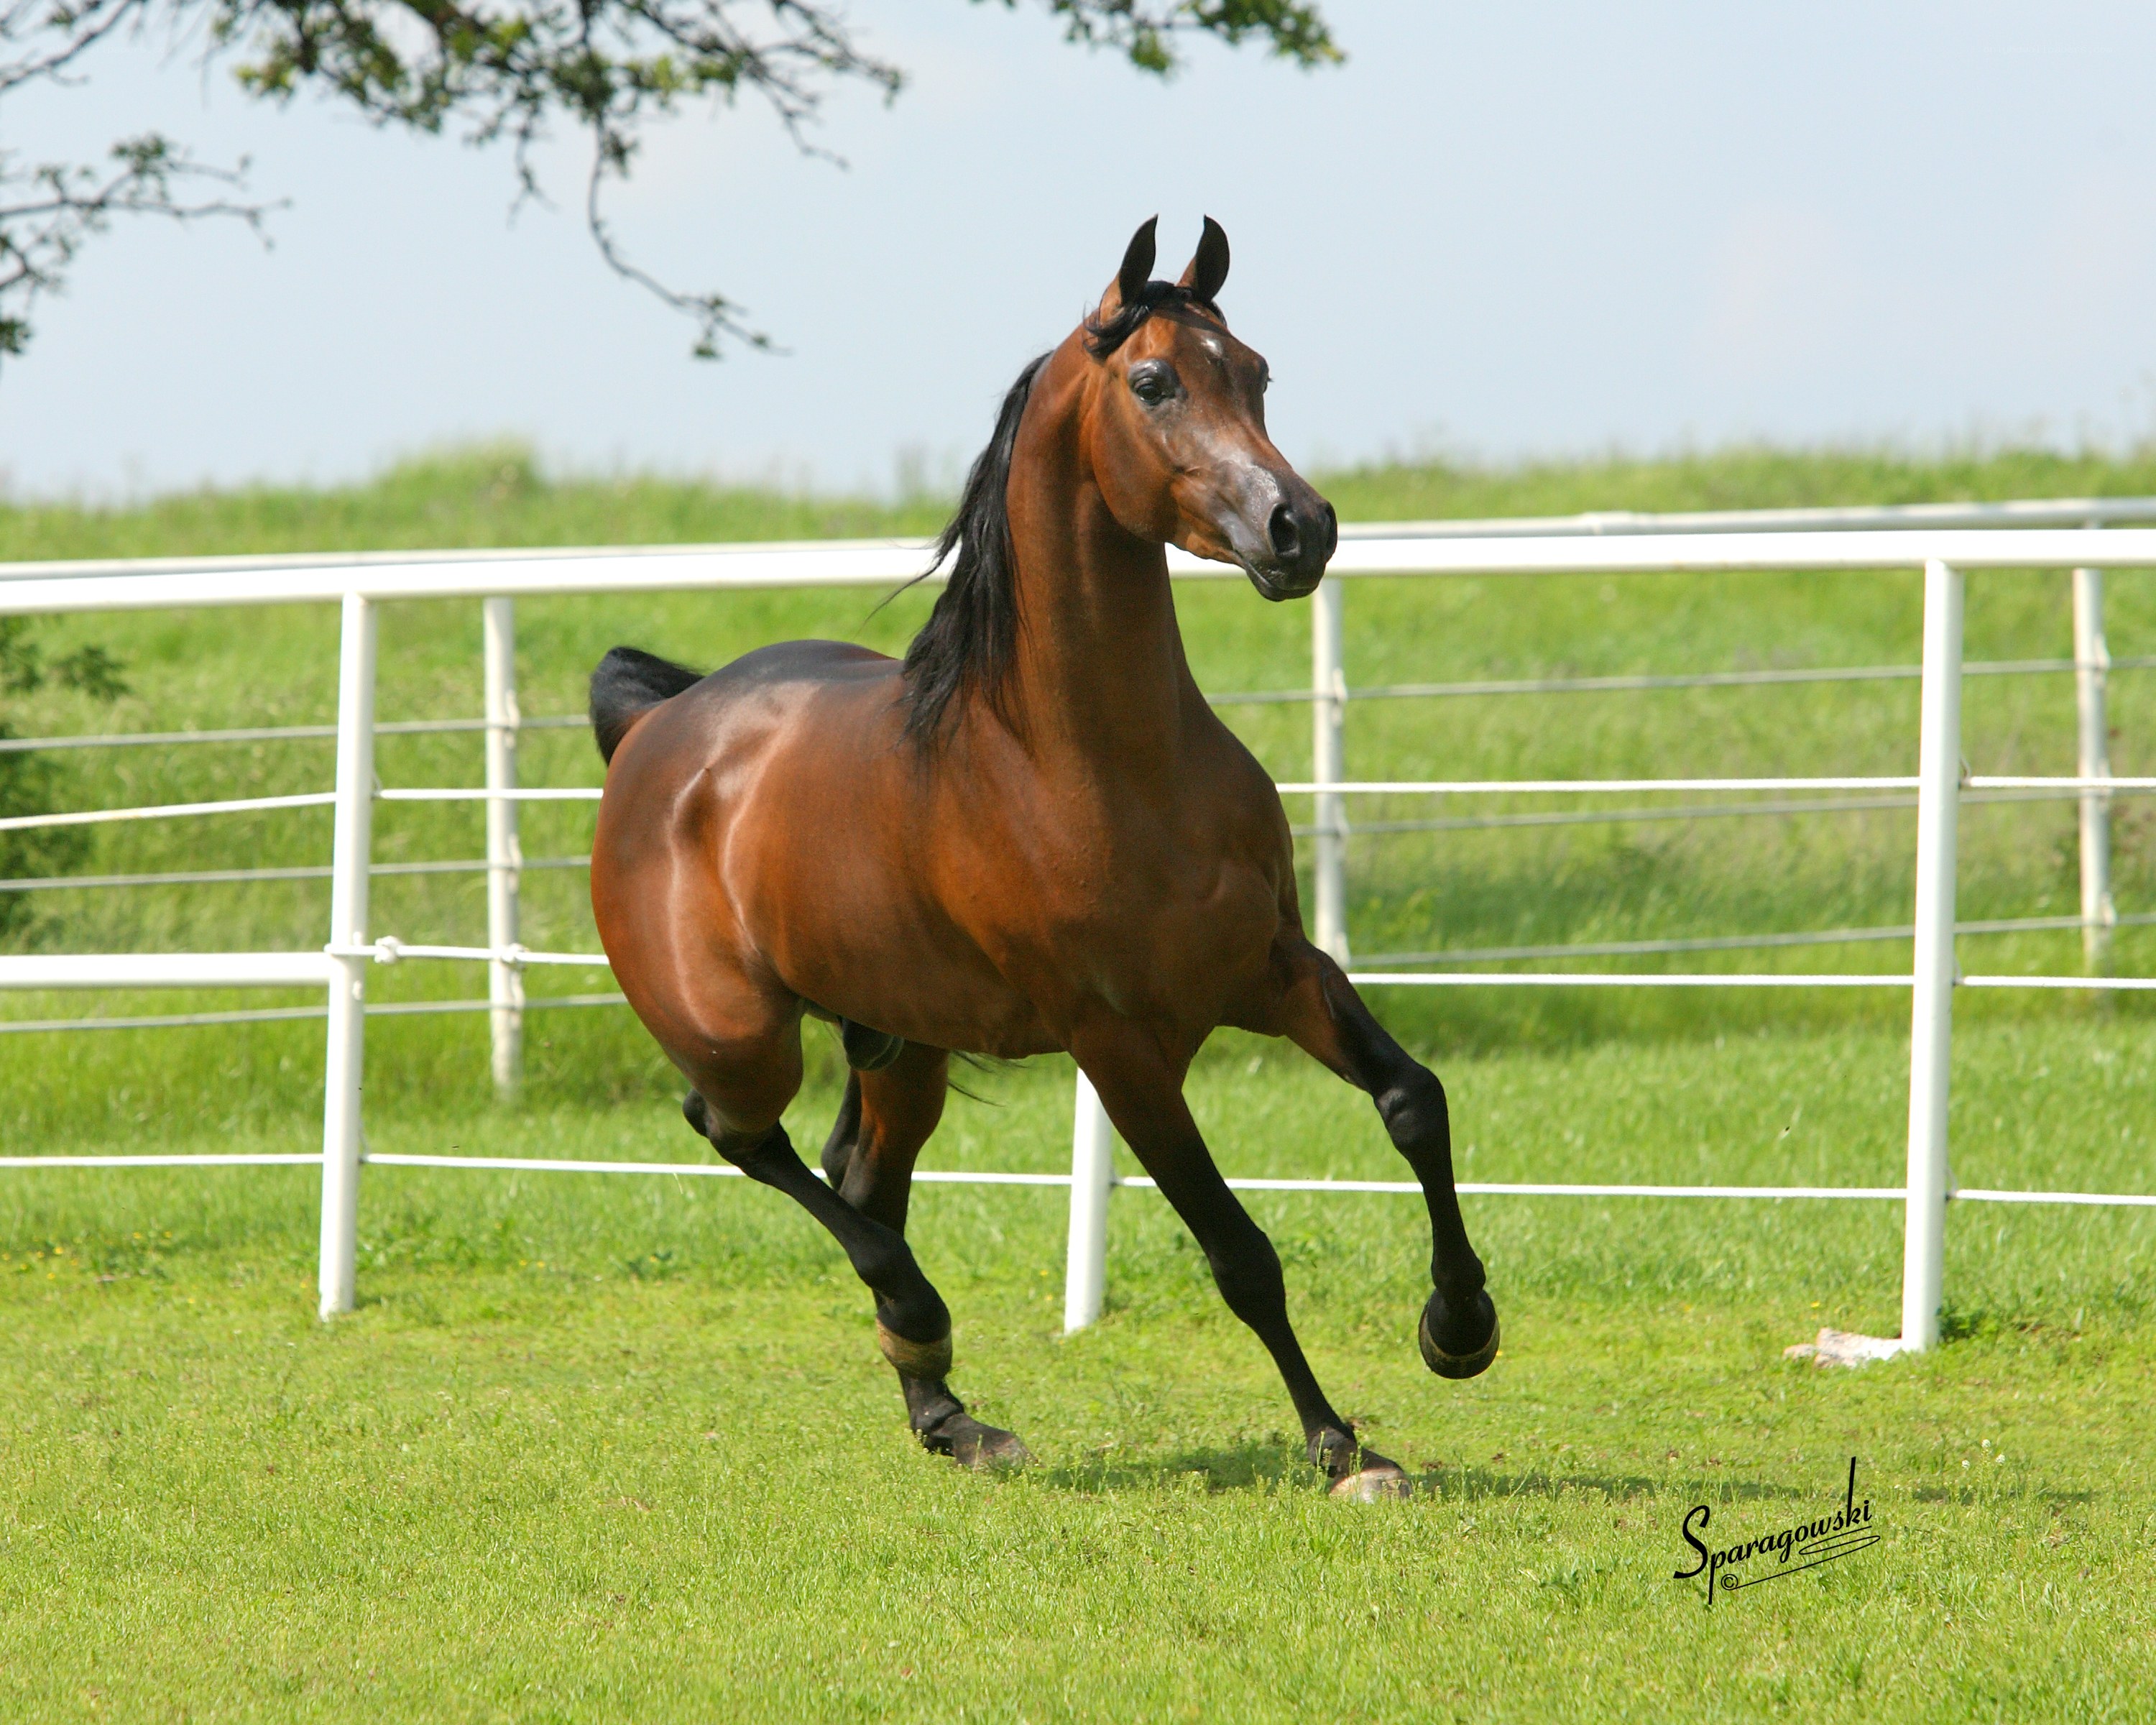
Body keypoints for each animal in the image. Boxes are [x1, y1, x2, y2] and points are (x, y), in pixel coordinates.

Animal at [587, 217, 1497, 1498]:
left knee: (862, 1176)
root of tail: (655, 727)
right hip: (740, 1037)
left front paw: (1458, 1328)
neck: (1099, 766)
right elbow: (1240, 1252)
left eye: (1256, 372)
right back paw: (921, 1320)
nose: (1300, 528)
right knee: (741, 1136)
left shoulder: (1274, 968)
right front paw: (1339, 1448)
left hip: (902, 1043)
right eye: (1154, 382)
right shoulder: (1118, 1046)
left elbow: (1416, 1101)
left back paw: (950, 1415)